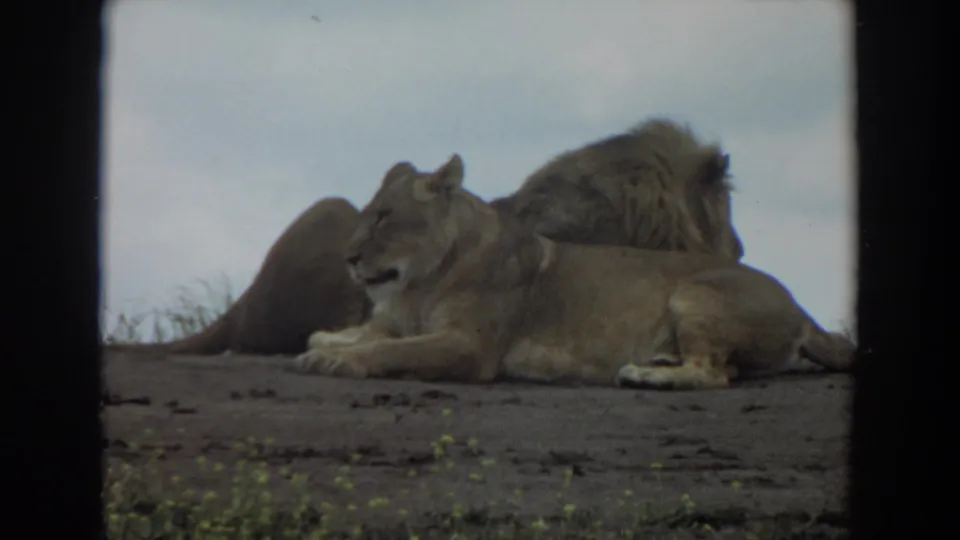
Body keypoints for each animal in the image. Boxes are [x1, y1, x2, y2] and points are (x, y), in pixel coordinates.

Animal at [290, 154, 855, 390]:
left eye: (384, 216)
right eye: (367, 212)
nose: (349, 258)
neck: (419, 283)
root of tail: (803, 309)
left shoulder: (471, 347)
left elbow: (393, 350)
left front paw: (340, 360)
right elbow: (347, 334)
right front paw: (328, 344)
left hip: (696, 294)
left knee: (713, 375)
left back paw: (648, 376)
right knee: (727, 369)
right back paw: (654, 361)